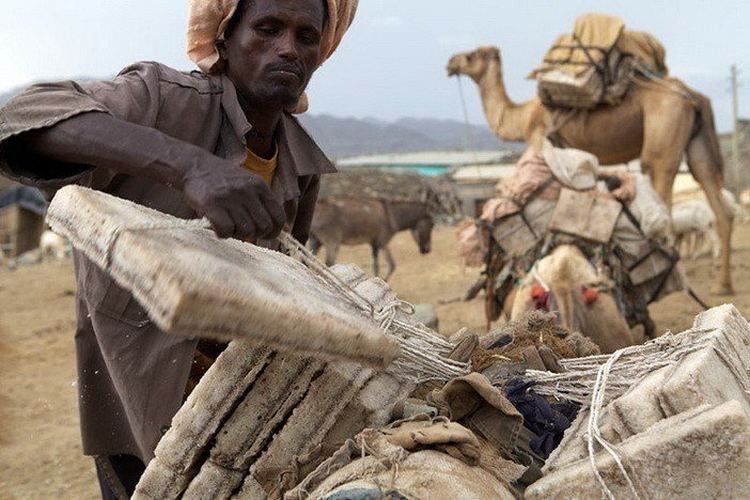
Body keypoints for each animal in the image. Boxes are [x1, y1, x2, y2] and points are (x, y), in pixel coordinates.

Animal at [450, 45, 736, 294]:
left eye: (471, 55)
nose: (450, 63)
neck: (523, 117)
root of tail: (693, 96)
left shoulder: (541, 141)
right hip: (698, 145)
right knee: (718, 202)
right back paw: (722, 285)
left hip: (663, 141)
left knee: (662, 195)